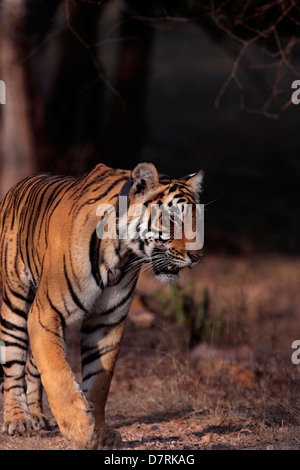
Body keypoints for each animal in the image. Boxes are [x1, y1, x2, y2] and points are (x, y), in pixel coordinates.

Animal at [0, 162, 204, 448]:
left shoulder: (107, 322)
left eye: (199, 220)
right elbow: (56, 372)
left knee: (31, 364)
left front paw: (100, 432)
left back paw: (38, 416)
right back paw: (18, 420)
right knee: (13, 364)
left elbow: (99, 381)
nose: (198, 256)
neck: (122, 255)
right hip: (15, 301)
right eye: (173, 219)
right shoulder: (45, 313)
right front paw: (78, 426)